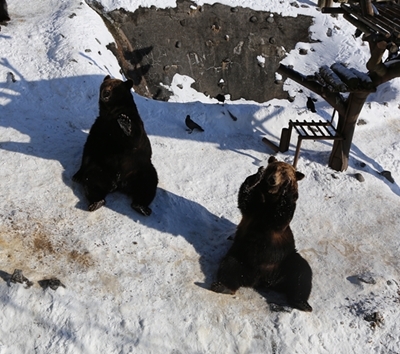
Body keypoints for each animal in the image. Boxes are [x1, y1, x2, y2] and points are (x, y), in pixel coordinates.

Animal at [74, 75, 159, 216]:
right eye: (105, 85)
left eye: (115, 87)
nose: (106, 93)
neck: (112, 113)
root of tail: (119, 184)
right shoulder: (100, 128)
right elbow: (89, 149)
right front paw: (77, 175)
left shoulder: (134, 129)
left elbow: (134, 138)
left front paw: (125, 122)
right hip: (103, 170)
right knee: (91, 179)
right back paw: (96, 202)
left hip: (139, 168)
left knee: (148, 183)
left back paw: (141, 206)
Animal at [209, 156, 312, 312]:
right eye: (273, 168)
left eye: (284, 173)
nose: (272, 179)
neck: (270, 199)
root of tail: (264, 280)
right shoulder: (254, 210)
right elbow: (245, 199)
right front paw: (256, 176)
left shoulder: (275, 223)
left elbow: (282, 215)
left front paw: (287, 188)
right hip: (242, 256)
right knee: (229, 266)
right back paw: (222, 286)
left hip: (284, 260)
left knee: (302, 273)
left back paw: (302, 303)